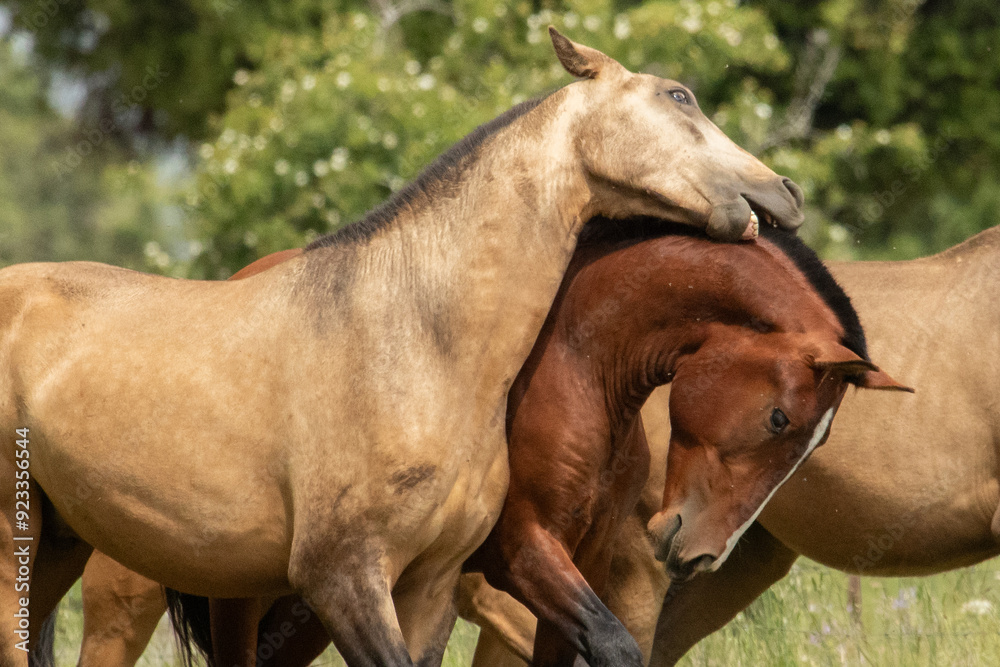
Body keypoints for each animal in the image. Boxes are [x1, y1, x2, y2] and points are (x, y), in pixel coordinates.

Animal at [0, 29, 805, 666]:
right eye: (679, 96)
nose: (786, 191)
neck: (415, 342)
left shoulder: (432, 583)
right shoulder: (348, 581)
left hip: (68, 550)